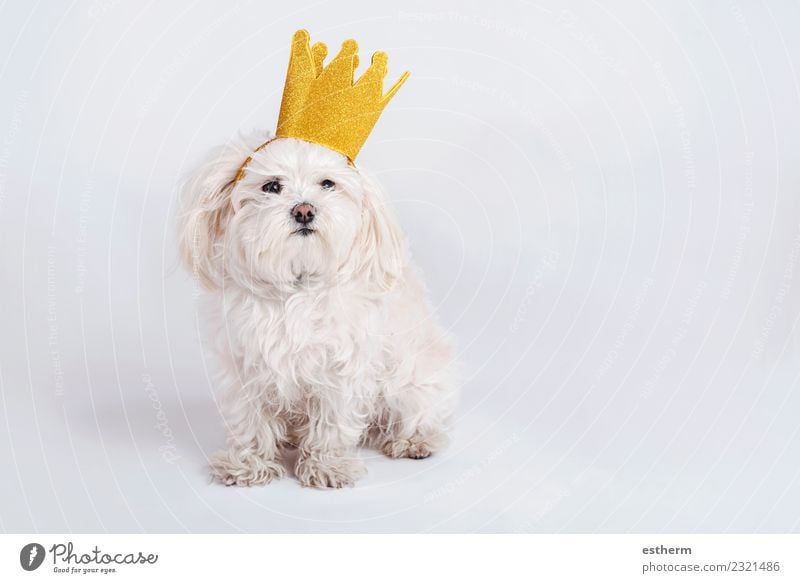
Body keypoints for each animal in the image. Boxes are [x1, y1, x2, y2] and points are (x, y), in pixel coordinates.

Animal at [179, 132, 460, 488]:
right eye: (272, 186)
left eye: (327, 183)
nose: (304, 210)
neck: (297, 285)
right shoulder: (246, 365)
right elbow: (250, 420)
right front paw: (249, 463)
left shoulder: (343, 369)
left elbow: (332, 423)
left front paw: (327, 466)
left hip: (412, 383)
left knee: (419, 413)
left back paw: (412, 440)